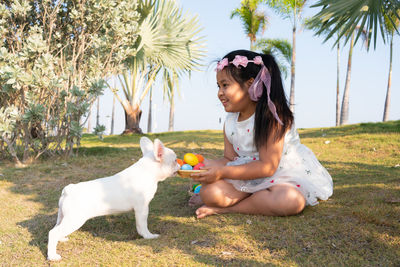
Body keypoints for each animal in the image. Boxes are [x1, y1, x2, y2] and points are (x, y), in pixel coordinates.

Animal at [46, 138, 179, 262]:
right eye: (175, 160)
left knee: (57, 229)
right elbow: (142, 225)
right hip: (75, 219)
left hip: (63, 216)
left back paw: (61, 239)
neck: (148, 170)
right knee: (53, 233)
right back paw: (52, 256)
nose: (179, 164)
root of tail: (68, 189)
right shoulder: (142, 208)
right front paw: (148, 236)